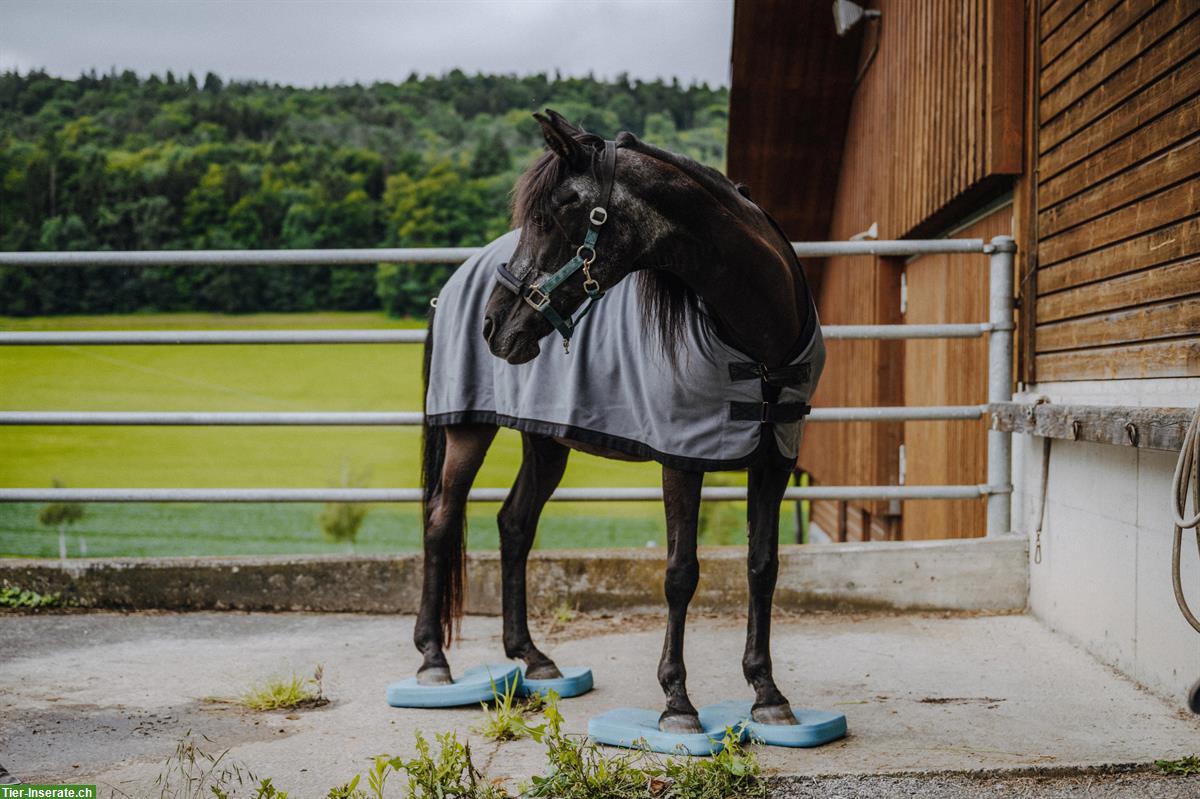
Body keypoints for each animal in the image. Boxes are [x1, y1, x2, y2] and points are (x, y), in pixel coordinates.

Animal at [414, 109, 822, 733]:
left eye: (549, 214)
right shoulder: (682, 458)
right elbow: (681, 573)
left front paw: (768, 694)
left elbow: (763, 566)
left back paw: (532, 657)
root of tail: (455, 285)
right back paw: (435, 660)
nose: (492, 326)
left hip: (545, 442)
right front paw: (677, 703)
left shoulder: (777, 455)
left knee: (515, 524)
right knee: (441, 519)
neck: (759, 335)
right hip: (468, 430)